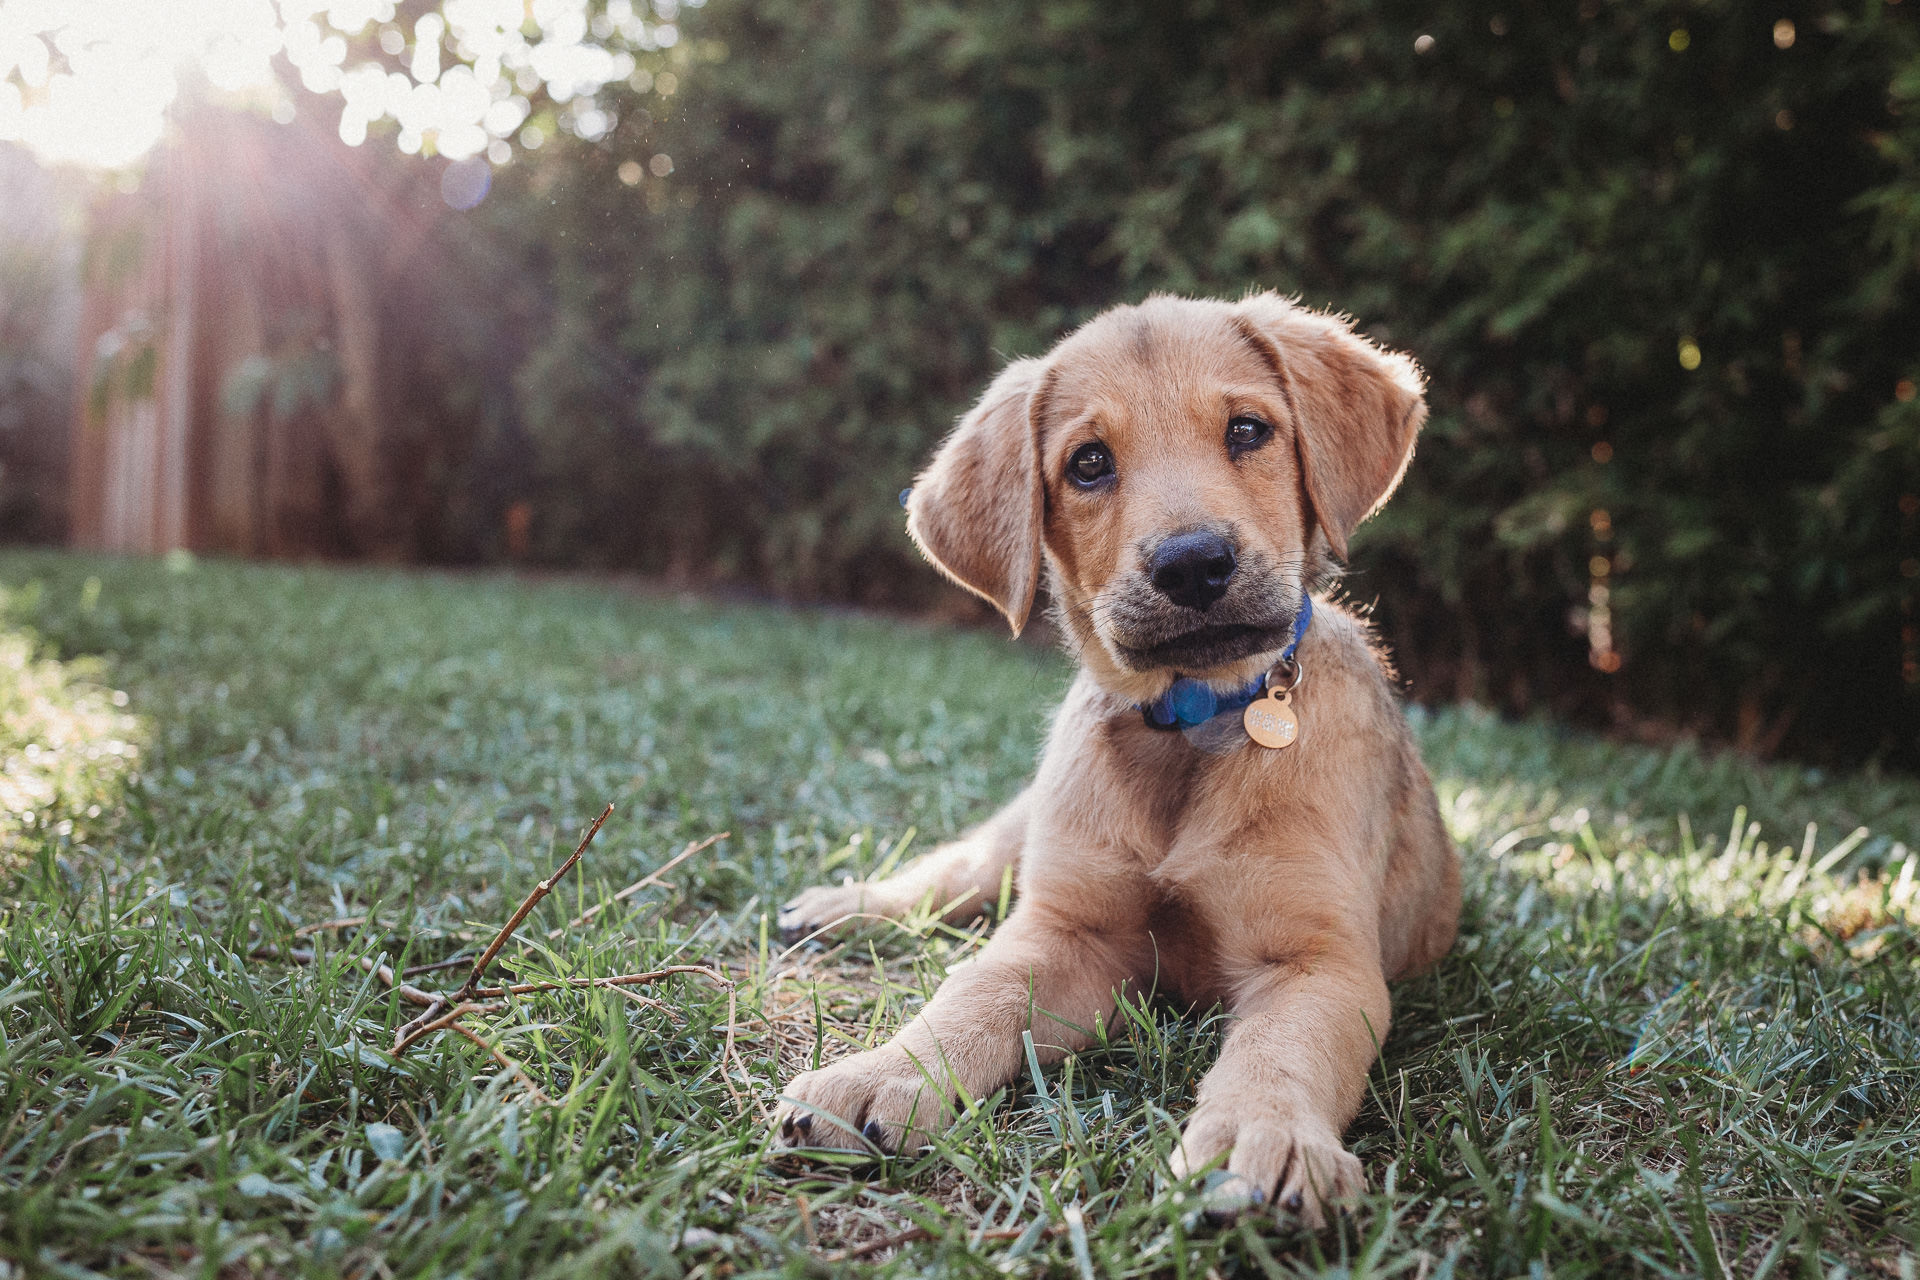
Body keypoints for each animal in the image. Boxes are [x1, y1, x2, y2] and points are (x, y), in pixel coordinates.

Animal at [764, 295, 1451, 1228]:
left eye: (1248, 429)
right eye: (1089, 463)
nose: (1192, 563)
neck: (1190, 725)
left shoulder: (1321, 961)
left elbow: (1280, 1050)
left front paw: (1262, 1138)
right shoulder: (1068, 931)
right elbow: (971, 996)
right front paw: (880, 1073)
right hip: (1018, 842)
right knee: (951, 875)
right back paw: (845, 904)